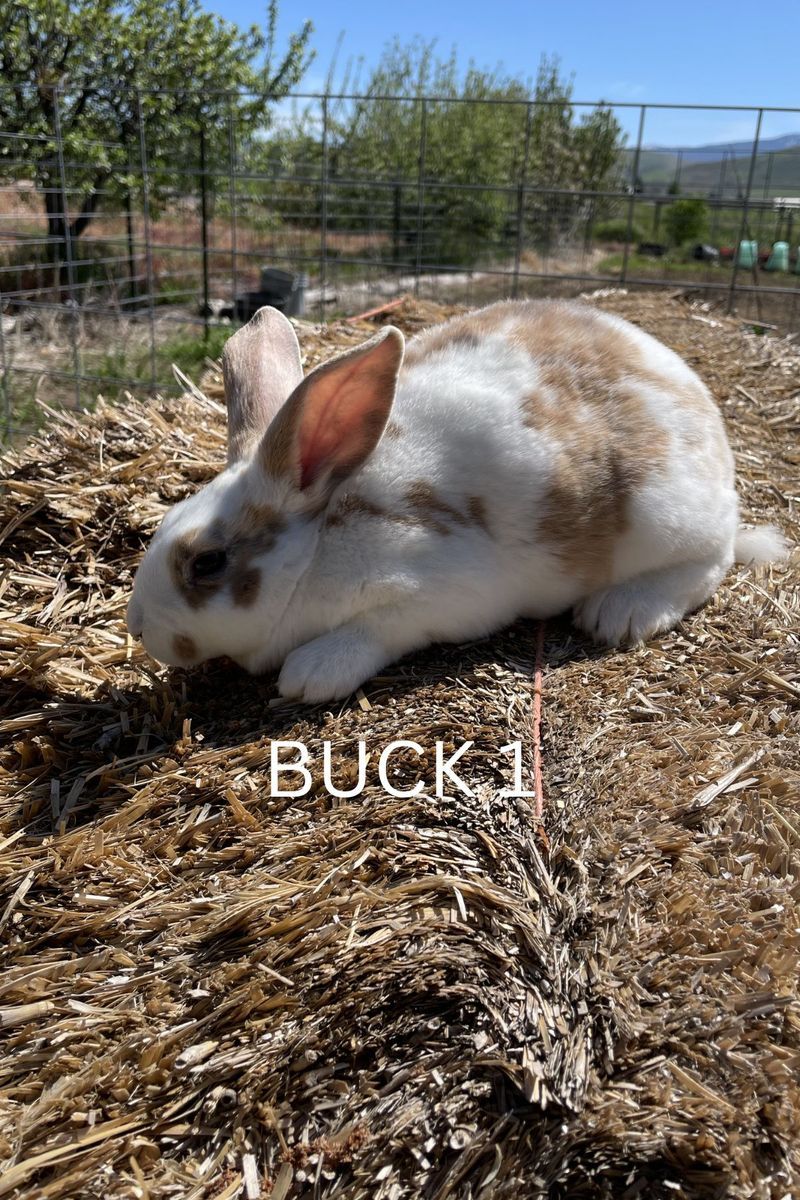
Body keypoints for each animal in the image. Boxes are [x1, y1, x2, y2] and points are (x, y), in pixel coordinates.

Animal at [126, 299, 787, 703]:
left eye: (207, 563)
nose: (138, 627)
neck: (317, 544)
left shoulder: (441, 593)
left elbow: (377, 628)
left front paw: (310, 675)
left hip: (667, 521)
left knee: (710, 562)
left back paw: (621, 612)